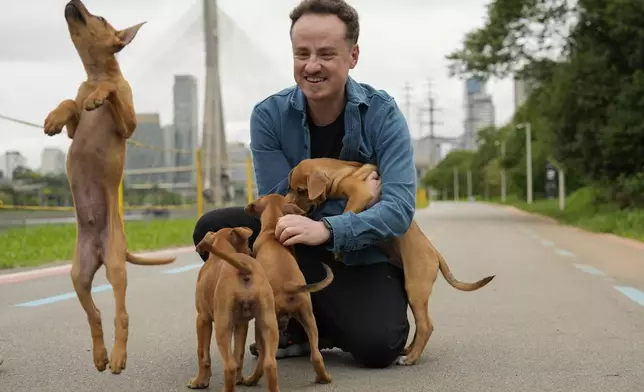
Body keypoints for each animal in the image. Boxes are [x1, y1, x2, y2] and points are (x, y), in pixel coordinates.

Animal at [42, 0, 175, 376]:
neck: (96, 76)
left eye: (99, 17)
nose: (73, 2)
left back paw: (117, 356)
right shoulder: (75, 128)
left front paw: (100, 97)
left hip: (116, 267)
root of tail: (103, 250)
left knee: (121, 314)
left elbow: (113, 95)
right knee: (96, 313)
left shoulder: (128, 124)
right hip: (78, 273)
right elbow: (70, 104)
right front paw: (55, 116)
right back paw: (100, 355)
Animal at [192, 228, 280, 390]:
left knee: (230, 365)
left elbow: (202, 353)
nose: (251, 252)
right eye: (246, 243)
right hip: (268, 321)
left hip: (222, 326)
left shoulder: (202, 319)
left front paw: (199, 381)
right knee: (269, 363)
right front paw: (239, 380)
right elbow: (239, 353)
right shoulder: (241, 324)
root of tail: (244, 267)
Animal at [244, 194, 334, 384]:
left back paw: (251, 380)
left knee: (266, 361)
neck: (272, 230)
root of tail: (289, 287)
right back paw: (324, 378)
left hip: (264, 323)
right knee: (316, 355)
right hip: (308, 318)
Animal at [284, 158, 496, 366]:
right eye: (291, 188)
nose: (287, 202)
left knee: (426, 325)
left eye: (301, 190)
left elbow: (346, 213)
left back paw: (410, 359)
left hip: (416, 287)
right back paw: (409, 351)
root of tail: (435, 253)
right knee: (421, 324)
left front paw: (339, 247)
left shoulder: (360, 194)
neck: (338, 172)